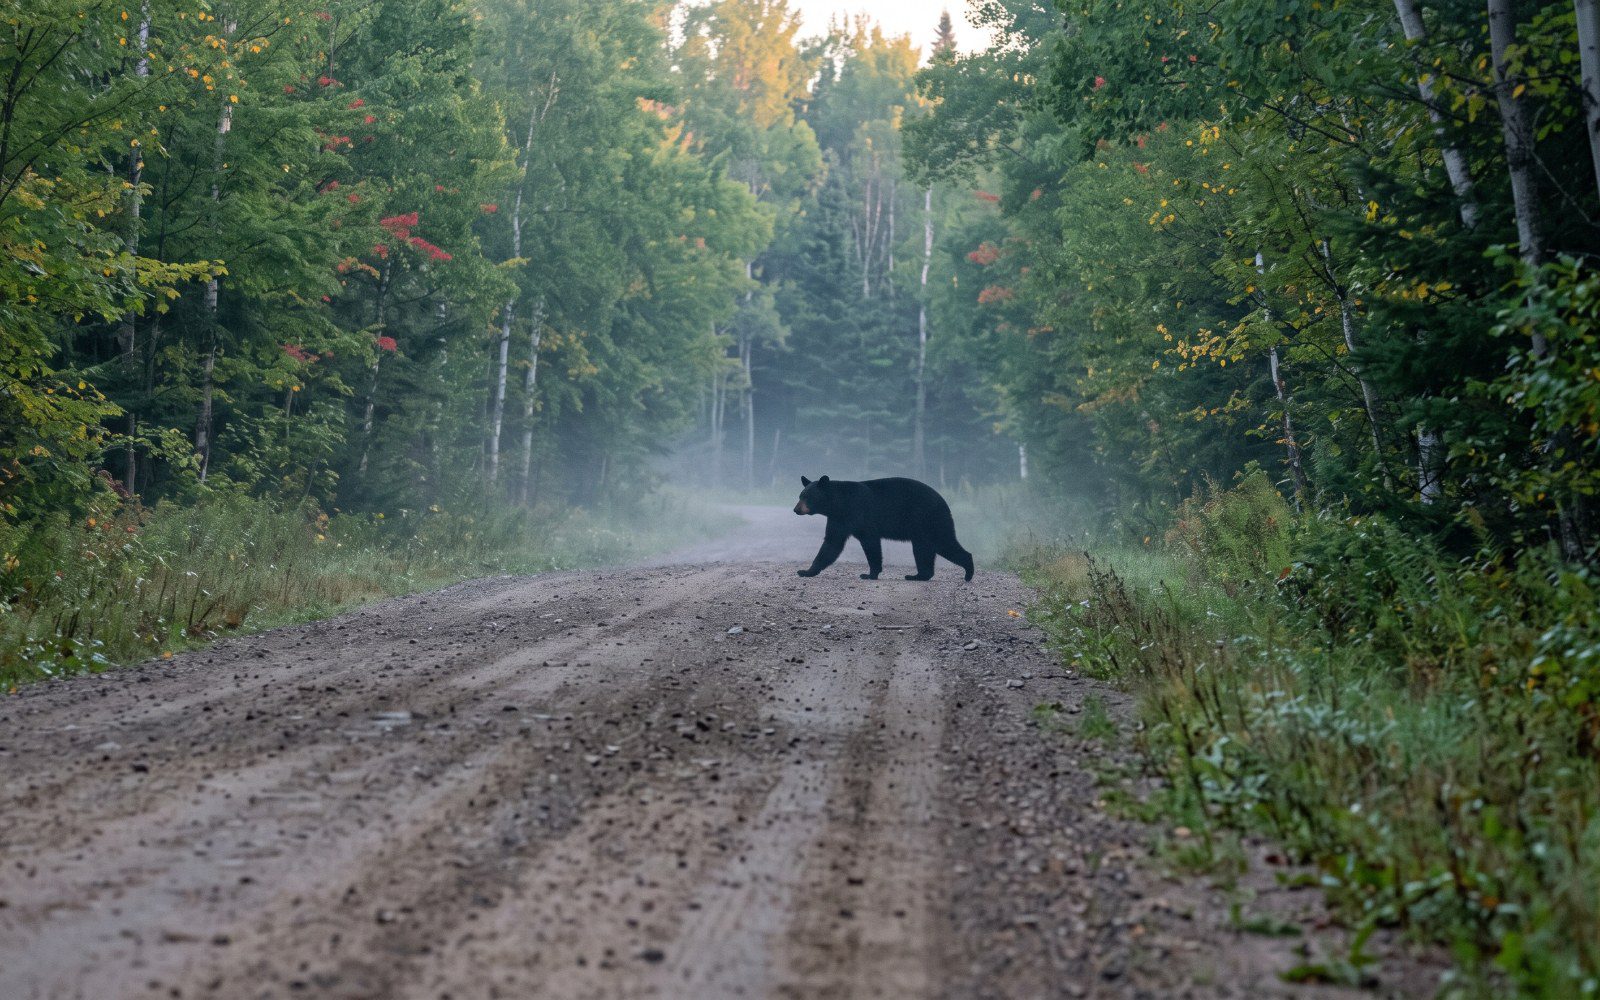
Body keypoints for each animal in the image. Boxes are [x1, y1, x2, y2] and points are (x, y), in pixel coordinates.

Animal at [792, 475, 975, 581]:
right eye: (800, 496)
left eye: (807, 497)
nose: (796, 509)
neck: (839, 503)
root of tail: (944, 501)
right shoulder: (838, 519)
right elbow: (831, 543)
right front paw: (806, 571)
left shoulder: (859, 513)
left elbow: (870, 543)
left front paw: (869, 574)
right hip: (923, 528)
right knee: (923, 550)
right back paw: (918, 575)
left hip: (929, 519)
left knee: (944, 542)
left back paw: (968, 572)